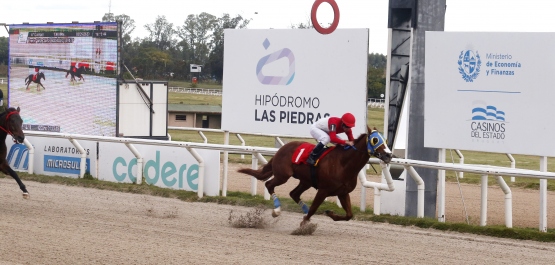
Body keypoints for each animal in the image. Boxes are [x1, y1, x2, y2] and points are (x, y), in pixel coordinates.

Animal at [239, 125, 390, 226]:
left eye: (386, 140)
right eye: (375, 140)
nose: (388, 155)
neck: (343, 164)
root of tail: (281, 149)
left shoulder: (343, 192)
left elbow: (349, 215)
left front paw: (330, 214)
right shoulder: (323, 190)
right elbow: (314, 208)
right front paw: (303, 226)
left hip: (305, 181)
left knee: (294, 193)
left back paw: (303, 210)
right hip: (283, 175)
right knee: (269, 184)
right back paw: (277, 210)